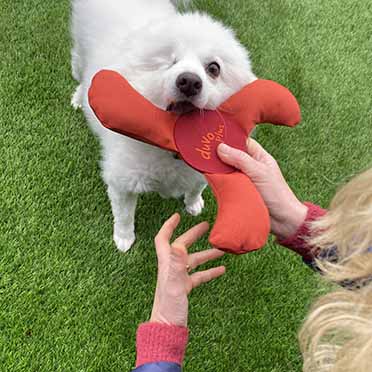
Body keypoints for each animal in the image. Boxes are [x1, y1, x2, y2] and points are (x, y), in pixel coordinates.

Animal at [70, 0, 256, 251]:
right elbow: (124, 215)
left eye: (213, 69)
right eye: (170, 62)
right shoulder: (121, 181)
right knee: (80, 73)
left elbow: (196, 188)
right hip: (80, 53)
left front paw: (194, 203)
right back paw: (79, 98)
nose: (189, 81)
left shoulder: (201, 173)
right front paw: (124, 238)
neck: (172, 147)